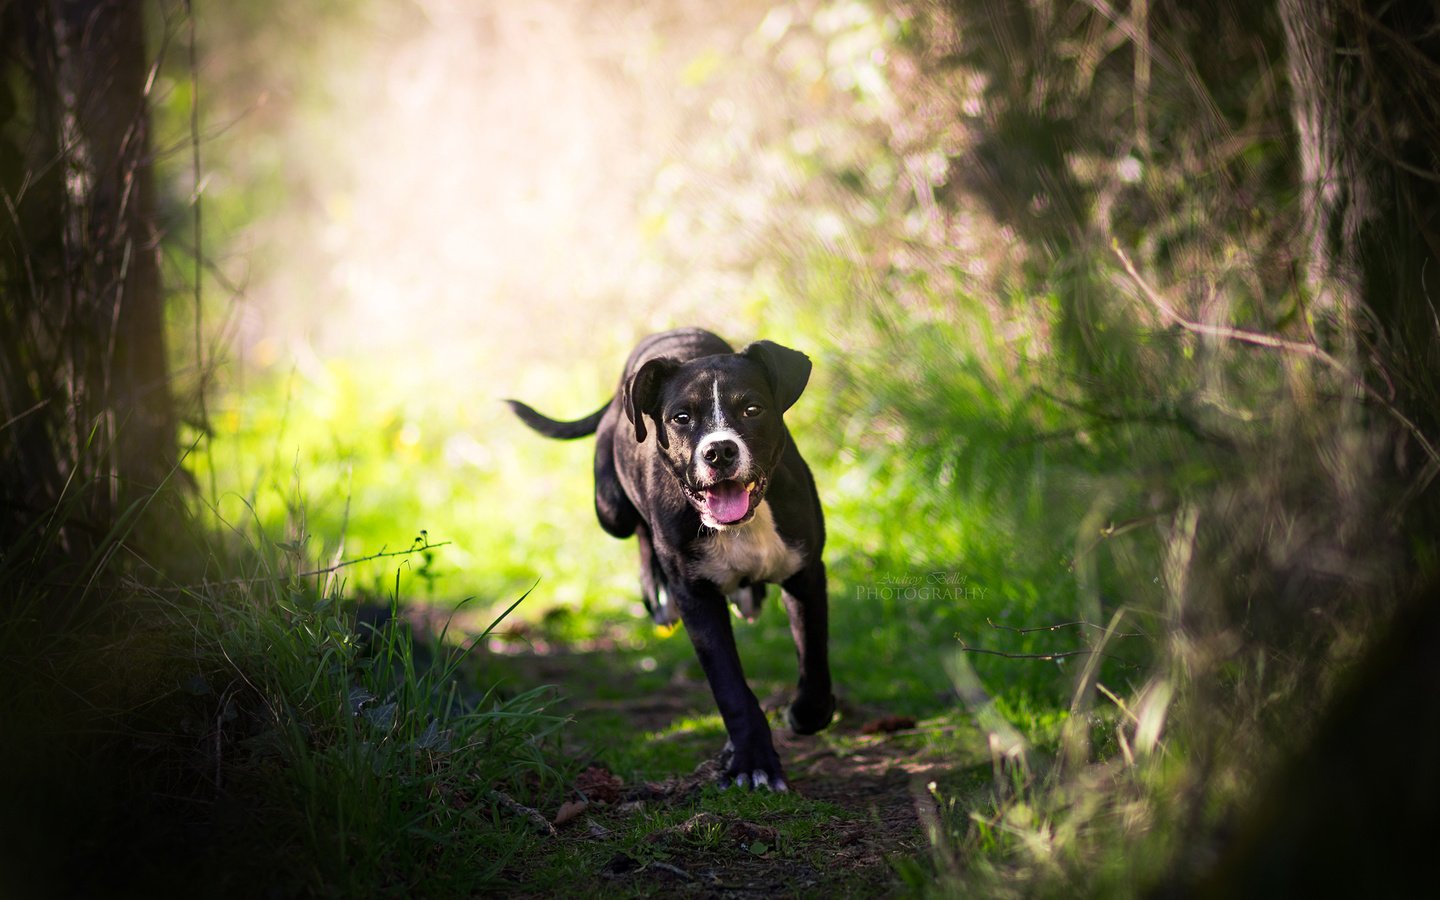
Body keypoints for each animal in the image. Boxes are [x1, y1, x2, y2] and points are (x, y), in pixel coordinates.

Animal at [512, 328, 840, 783]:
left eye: (752, 409)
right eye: (681, 418)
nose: (719, 451)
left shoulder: (805, 574)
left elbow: (814, 659)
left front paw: (804, 715)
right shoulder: (696, 598)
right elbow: (731, 688)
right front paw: (753, 761)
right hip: (610, 509)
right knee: (638, 531)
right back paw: (657, 591)